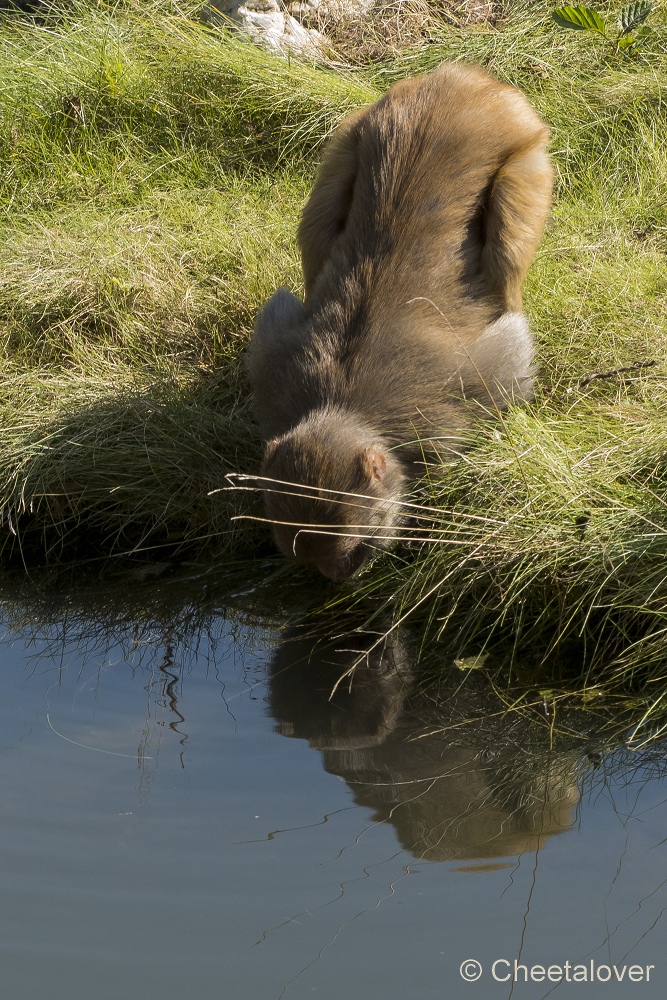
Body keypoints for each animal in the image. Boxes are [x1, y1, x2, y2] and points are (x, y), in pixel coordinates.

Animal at [247, 62, 552, 584]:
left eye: (348, 549)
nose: (335, 578)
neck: (342, 405)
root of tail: (460, 80)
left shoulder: (448, 423)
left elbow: (506, 360)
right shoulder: (274, 378)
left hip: (524, 154)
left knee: (507, 251)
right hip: (352, 134)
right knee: (318, 226)